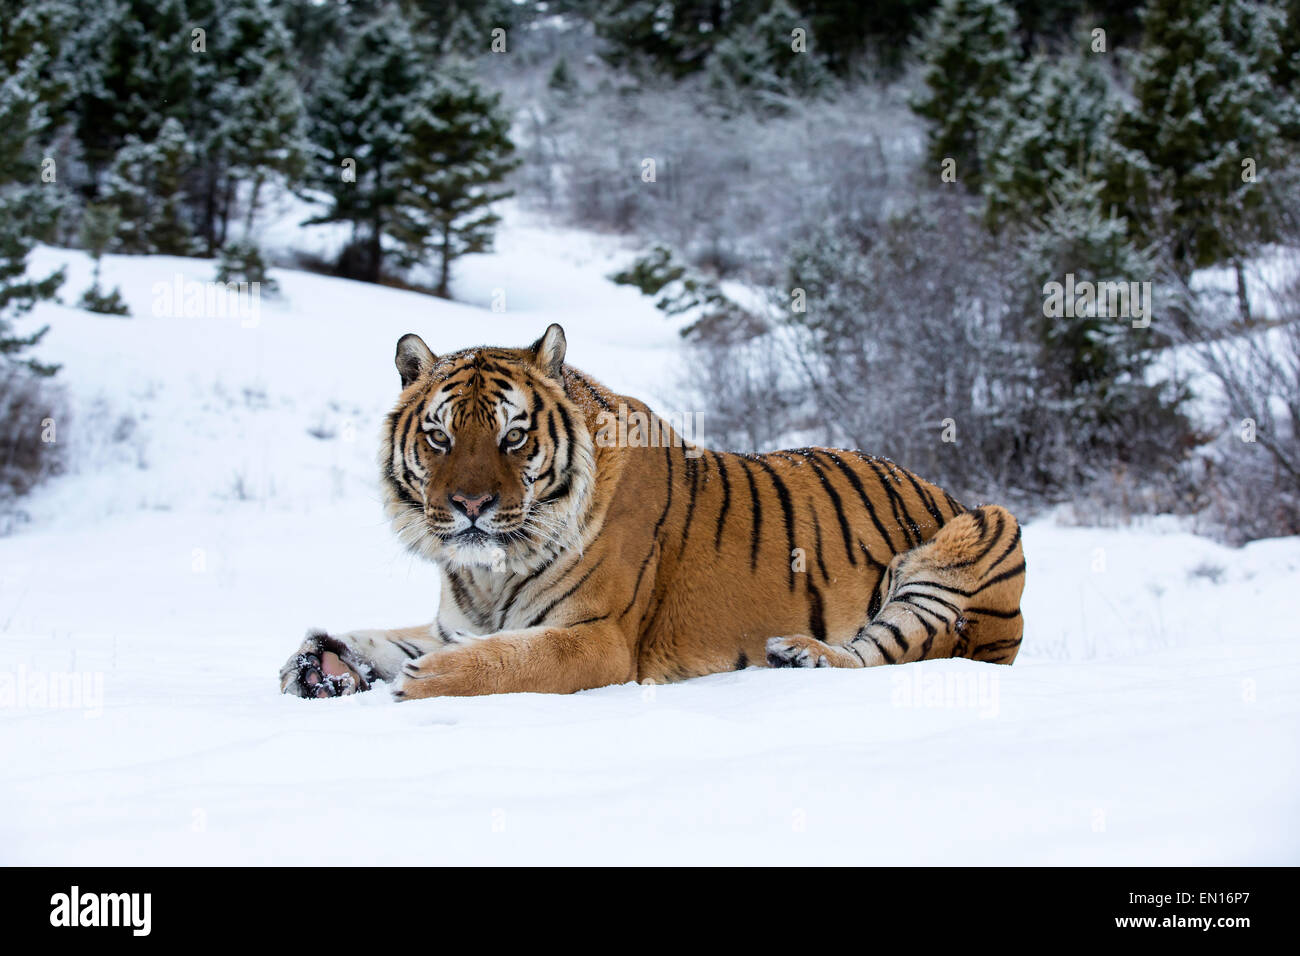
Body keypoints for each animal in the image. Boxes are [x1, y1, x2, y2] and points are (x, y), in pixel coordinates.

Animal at [282, 325, 1024, 697]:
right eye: (439, 437)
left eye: (512, 436)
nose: (469, 505)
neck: (487, 573)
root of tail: (949, 491)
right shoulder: (455, 620)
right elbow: (385, 636)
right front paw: (323, 662)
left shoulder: (599, 637)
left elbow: (507, 661)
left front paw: (430, 678)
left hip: (982, 538)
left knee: (878, 659)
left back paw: (801, 655)